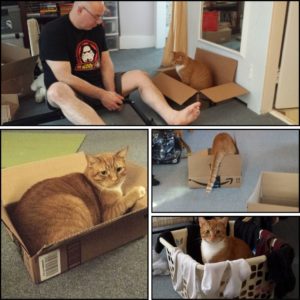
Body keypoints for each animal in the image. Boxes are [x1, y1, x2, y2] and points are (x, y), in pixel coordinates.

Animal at [12, 146, 146, 254]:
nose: (114, 179)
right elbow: (125, 200)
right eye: (103, 172)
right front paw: (138, 190)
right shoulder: (108, 214)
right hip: (75, 203)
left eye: (118, 169)